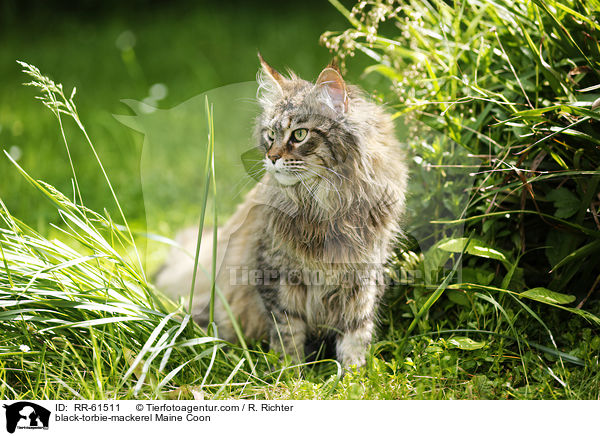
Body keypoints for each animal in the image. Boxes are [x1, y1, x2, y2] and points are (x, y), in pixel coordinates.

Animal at [155, 54, 408, 368]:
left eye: (299, 134)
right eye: (271, 135)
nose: (271, 157)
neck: (323, 208)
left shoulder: (363, 275)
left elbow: (355, 334)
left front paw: (353, 375)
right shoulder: (276, 274)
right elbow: (287, 332)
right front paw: (290, 371)